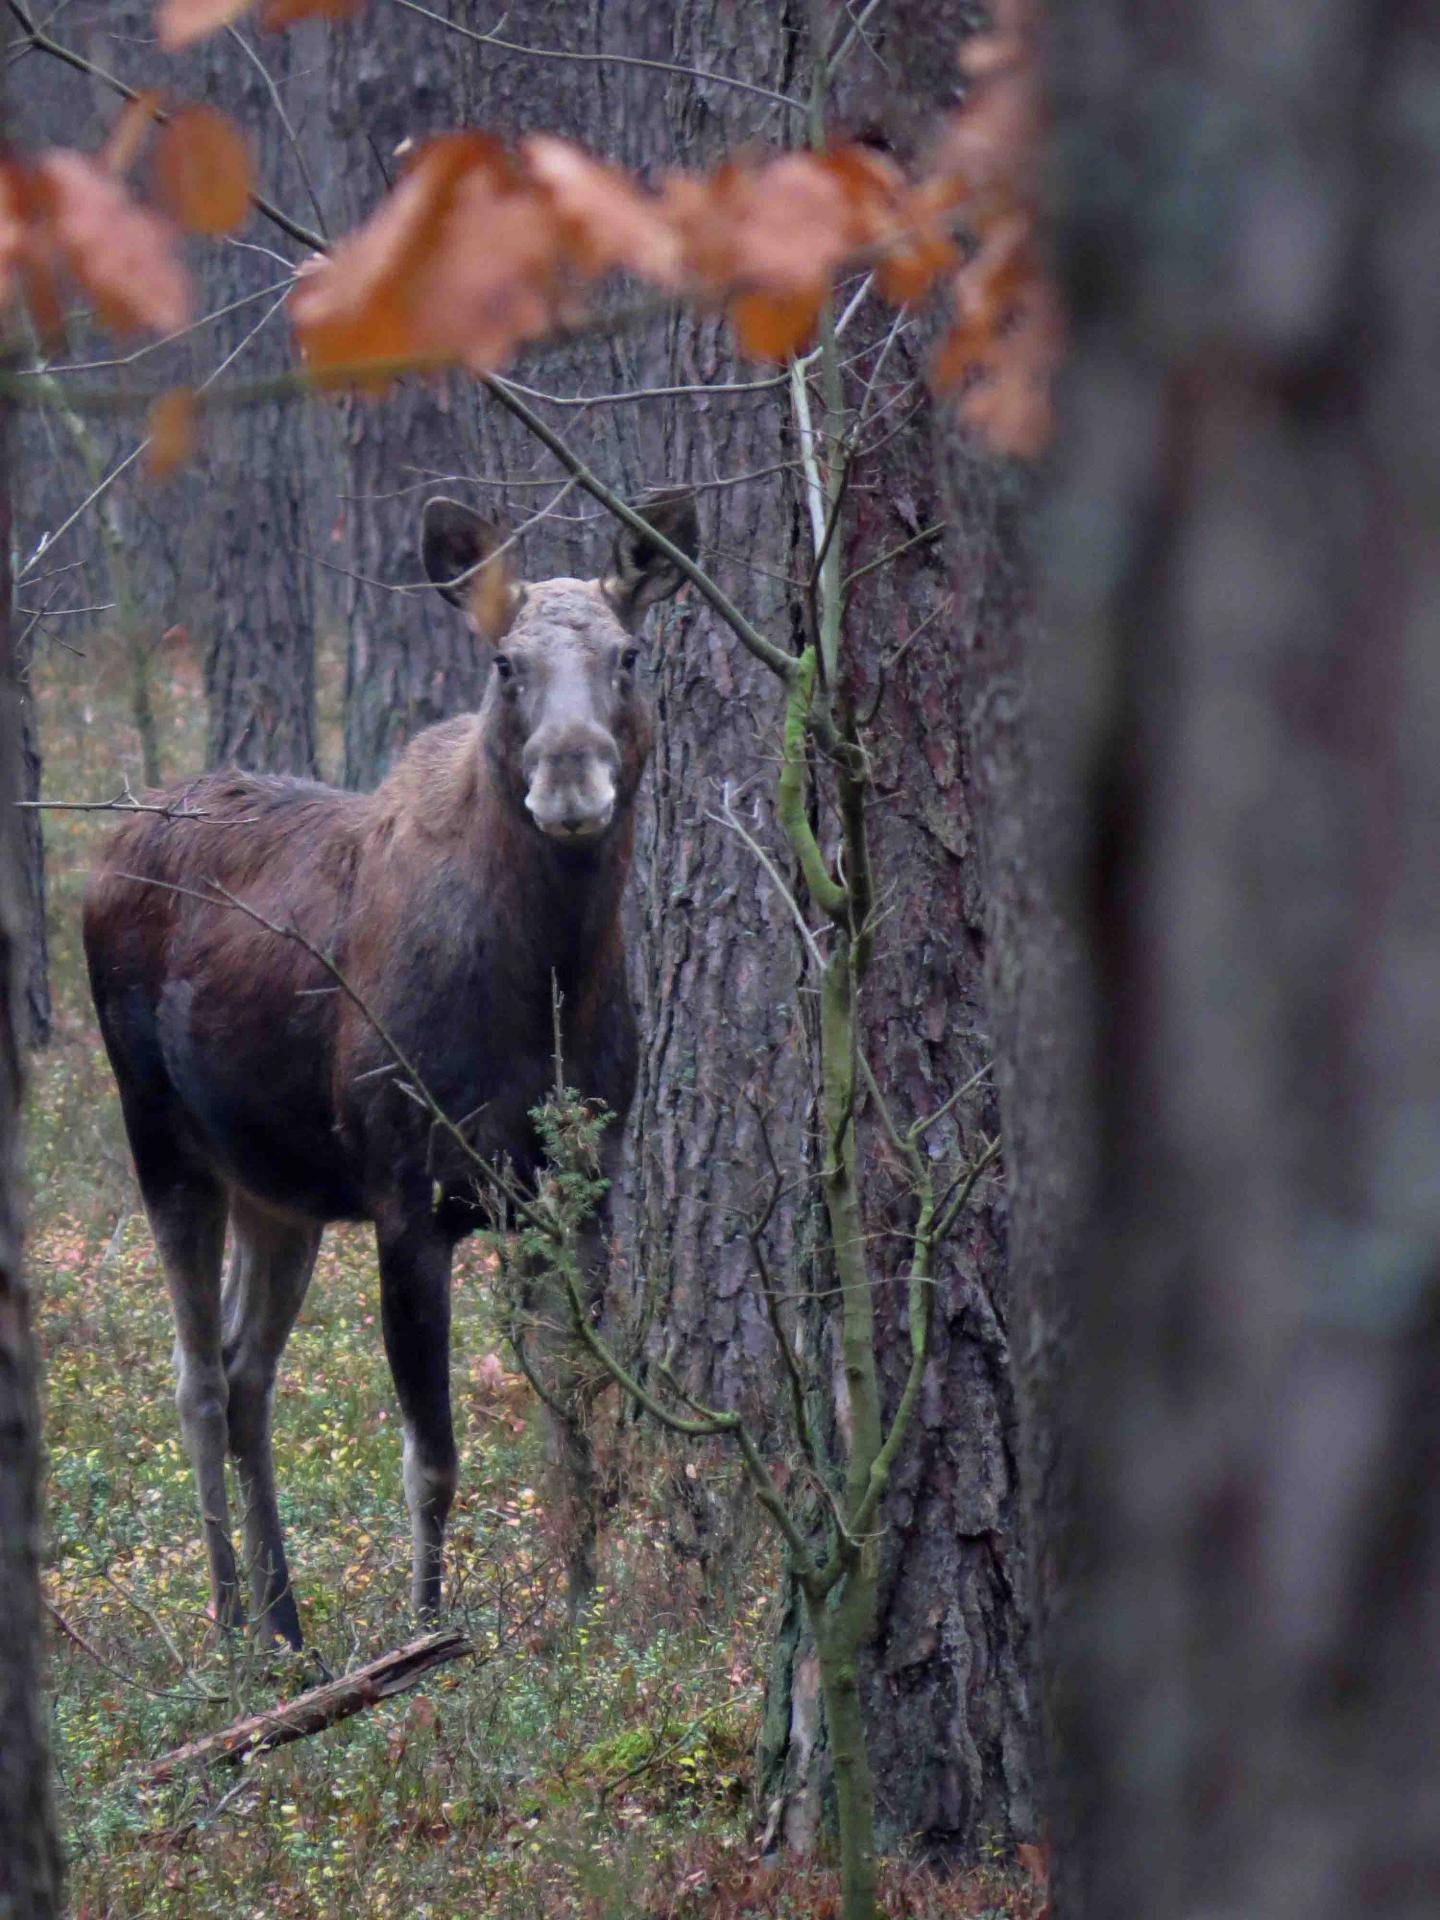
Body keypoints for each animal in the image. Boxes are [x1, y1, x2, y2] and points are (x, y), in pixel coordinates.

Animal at [84, 491, 706, 1651]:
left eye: (631, 655)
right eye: (504, 664)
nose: (570, 776)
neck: (550, 986)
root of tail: (106, 850)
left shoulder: (583, 1189)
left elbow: (577, 1424)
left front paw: (580, 1614)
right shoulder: (409, 1203)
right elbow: (434, 1461)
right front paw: (429, 1630)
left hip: (277, 1189)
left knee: (247, 1371)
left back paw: (287, 1620)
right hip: (162, 1142)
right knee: (196, 1380)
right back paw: (231, 1619)